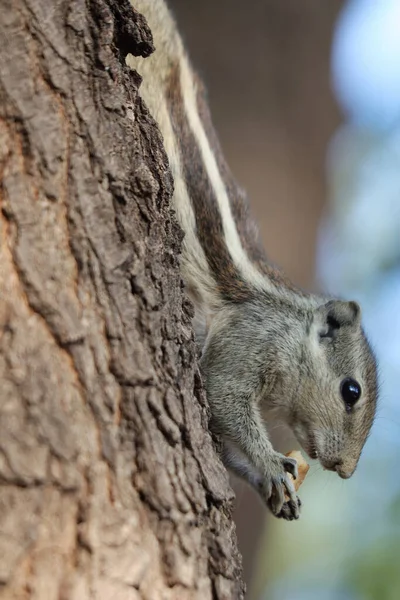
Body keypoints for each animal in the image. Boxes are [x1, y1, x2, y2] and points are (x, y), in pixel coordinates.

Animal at [128, 0, 378, 520]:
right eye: (351, 392)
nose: (345, 470)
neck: (291, 328)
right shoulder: (246, 343)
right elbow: (224, 400)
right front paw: (270, 467)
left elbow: (222, 441)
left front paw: (273, 487)